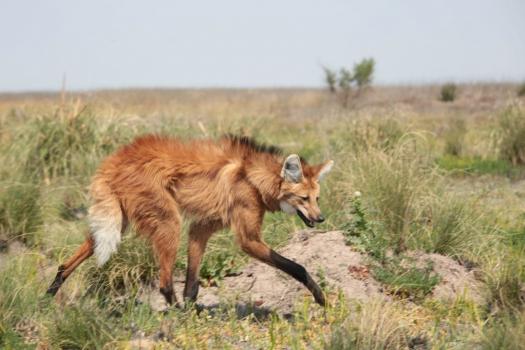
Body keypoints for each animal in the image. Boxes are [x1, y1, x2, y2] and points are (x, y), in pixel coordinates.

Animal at [46, 134, 332, 306]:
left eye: (317, 198)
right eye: (304, 198)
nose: (320, 218)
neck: (254, 178)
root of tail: (114, 160)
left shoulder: (202, 227)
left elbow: (192, 282)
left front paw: (193, 310)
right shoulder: (248, 239)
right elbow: (297, 267)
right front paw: (321, 297)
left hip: (120, 219)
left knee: (69, 260)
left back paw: (48, 294)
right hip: (167, 221)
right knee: (163, 283)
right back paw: (173, 313)